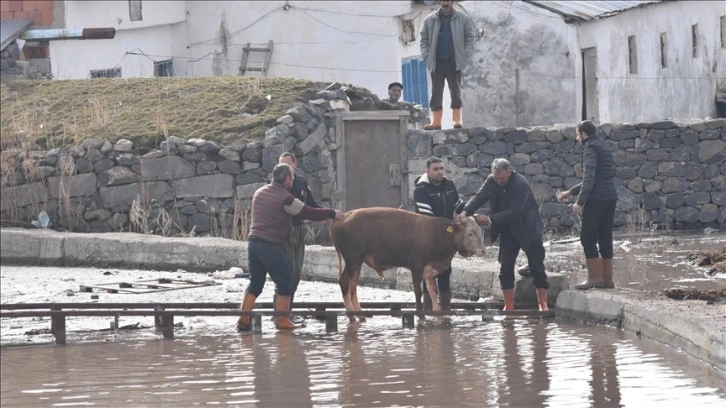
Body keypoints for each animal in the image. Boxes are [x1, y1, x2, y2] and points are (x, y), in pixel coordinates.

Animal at [332, 207, 486, 322]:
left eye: (480, 231)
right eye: (470, 234)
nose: (483, 250)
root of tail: (343, 217)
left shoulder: (429, 269)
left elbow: (433, 290)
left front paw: (437, 314)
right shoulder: (416, 265)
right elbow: (418, 291)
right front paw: (420, 314)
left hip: (351, 262)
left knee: (344, 282)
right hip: (354, 259)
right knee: (351, 286)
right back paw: (358, 315)